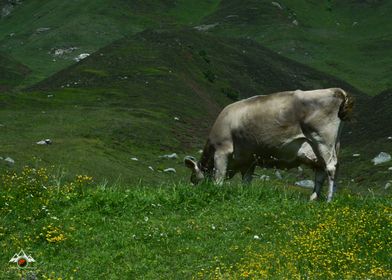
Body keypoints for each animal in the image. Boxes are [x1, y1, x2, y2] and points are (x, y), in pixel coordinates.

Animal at [185, 87, 354, 201]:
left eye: (194, 179)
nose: (192, 192)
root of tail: (336, 90)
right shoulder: (248, 160)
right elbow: (246, 181)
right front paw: (245, 195)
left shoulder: (222, 151)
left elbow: (218, 179)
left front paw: (216, 191)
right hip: (324, 147)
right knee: (321, 171)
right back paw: (313, 199)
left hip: (323, 140)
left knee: (331, 168)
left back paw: (328, 200)